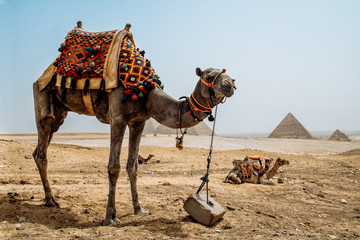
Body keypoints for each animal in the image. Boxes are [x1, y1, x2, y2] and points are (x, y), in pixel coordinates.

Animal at [31, 23, 236, 227]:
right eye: (209, 77)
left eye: (228, 77)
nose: (231, 85)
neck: (145, 91)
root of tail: (44, 73)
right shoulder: (118, 117)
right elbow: (114, 167)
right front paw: (110, 217)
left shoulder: (139, 121)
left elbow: (133, 166)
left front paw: (139, 209)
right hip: (42, 93)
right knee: (43, 142)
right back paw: (51, 200)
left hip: (60, 111)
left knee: (41, 145)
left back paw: (49, 198)